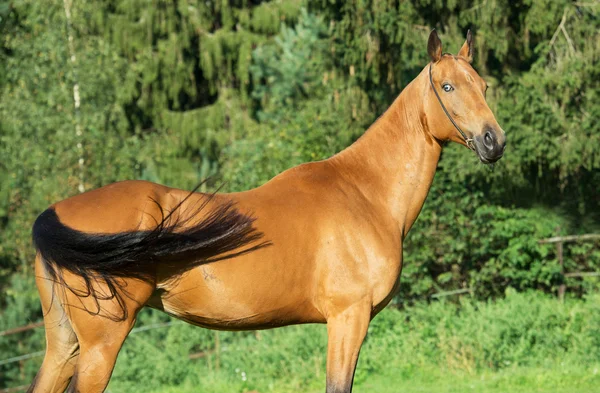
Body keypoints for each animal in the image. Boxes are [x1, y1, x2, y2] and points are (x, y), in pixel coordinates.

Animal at [28, 30, 506, 392]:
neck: (365, 191)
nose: (493, 141)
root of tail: (55, 214)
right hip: (100, 346)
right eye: (447, 87)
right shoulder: (347, 319)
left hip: (63, 346)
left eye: (483, 87)